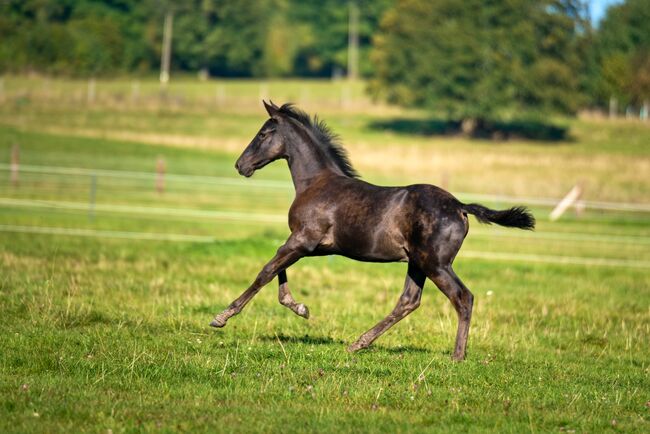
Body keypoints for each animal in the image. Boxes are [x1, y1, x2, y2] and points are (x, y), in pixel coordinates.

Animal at [209, 101, 532, 360]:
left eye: (263, 133)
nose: (240, 165)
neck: (315, 183)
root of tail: (459, 206)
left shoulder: (303, 240)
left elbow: (266, 270)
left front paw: (222, 317)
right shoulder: (313, 246)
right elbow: (278, 270)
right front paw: (300, 308)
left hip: (436, 264)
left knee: (463, 298)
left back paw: (457, 355)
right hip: (417, 263)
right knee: (408, 301)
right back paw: (358, 343)